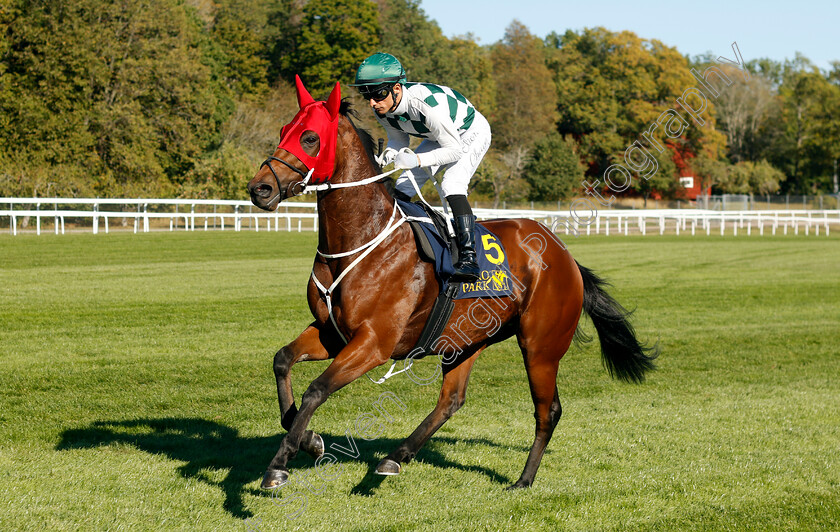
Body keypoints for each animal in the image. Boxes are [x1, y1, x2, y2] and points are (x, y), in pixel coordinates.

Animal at [246, 78, 660, 490]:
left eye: (310, 138)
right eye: (283, 131)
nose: (259, 189)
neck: (361, 239)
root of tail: (565, 256)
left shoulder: (374, 344)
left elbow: (316, 389)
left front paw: (279, 463)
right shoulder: (333, 333)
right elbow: (282, 361)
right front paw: (309, 439)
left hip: (541, 347)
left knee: (548, 411)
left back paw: (523, 479)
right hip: (465, 340)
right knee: (451, 401)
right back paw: (395, 457)